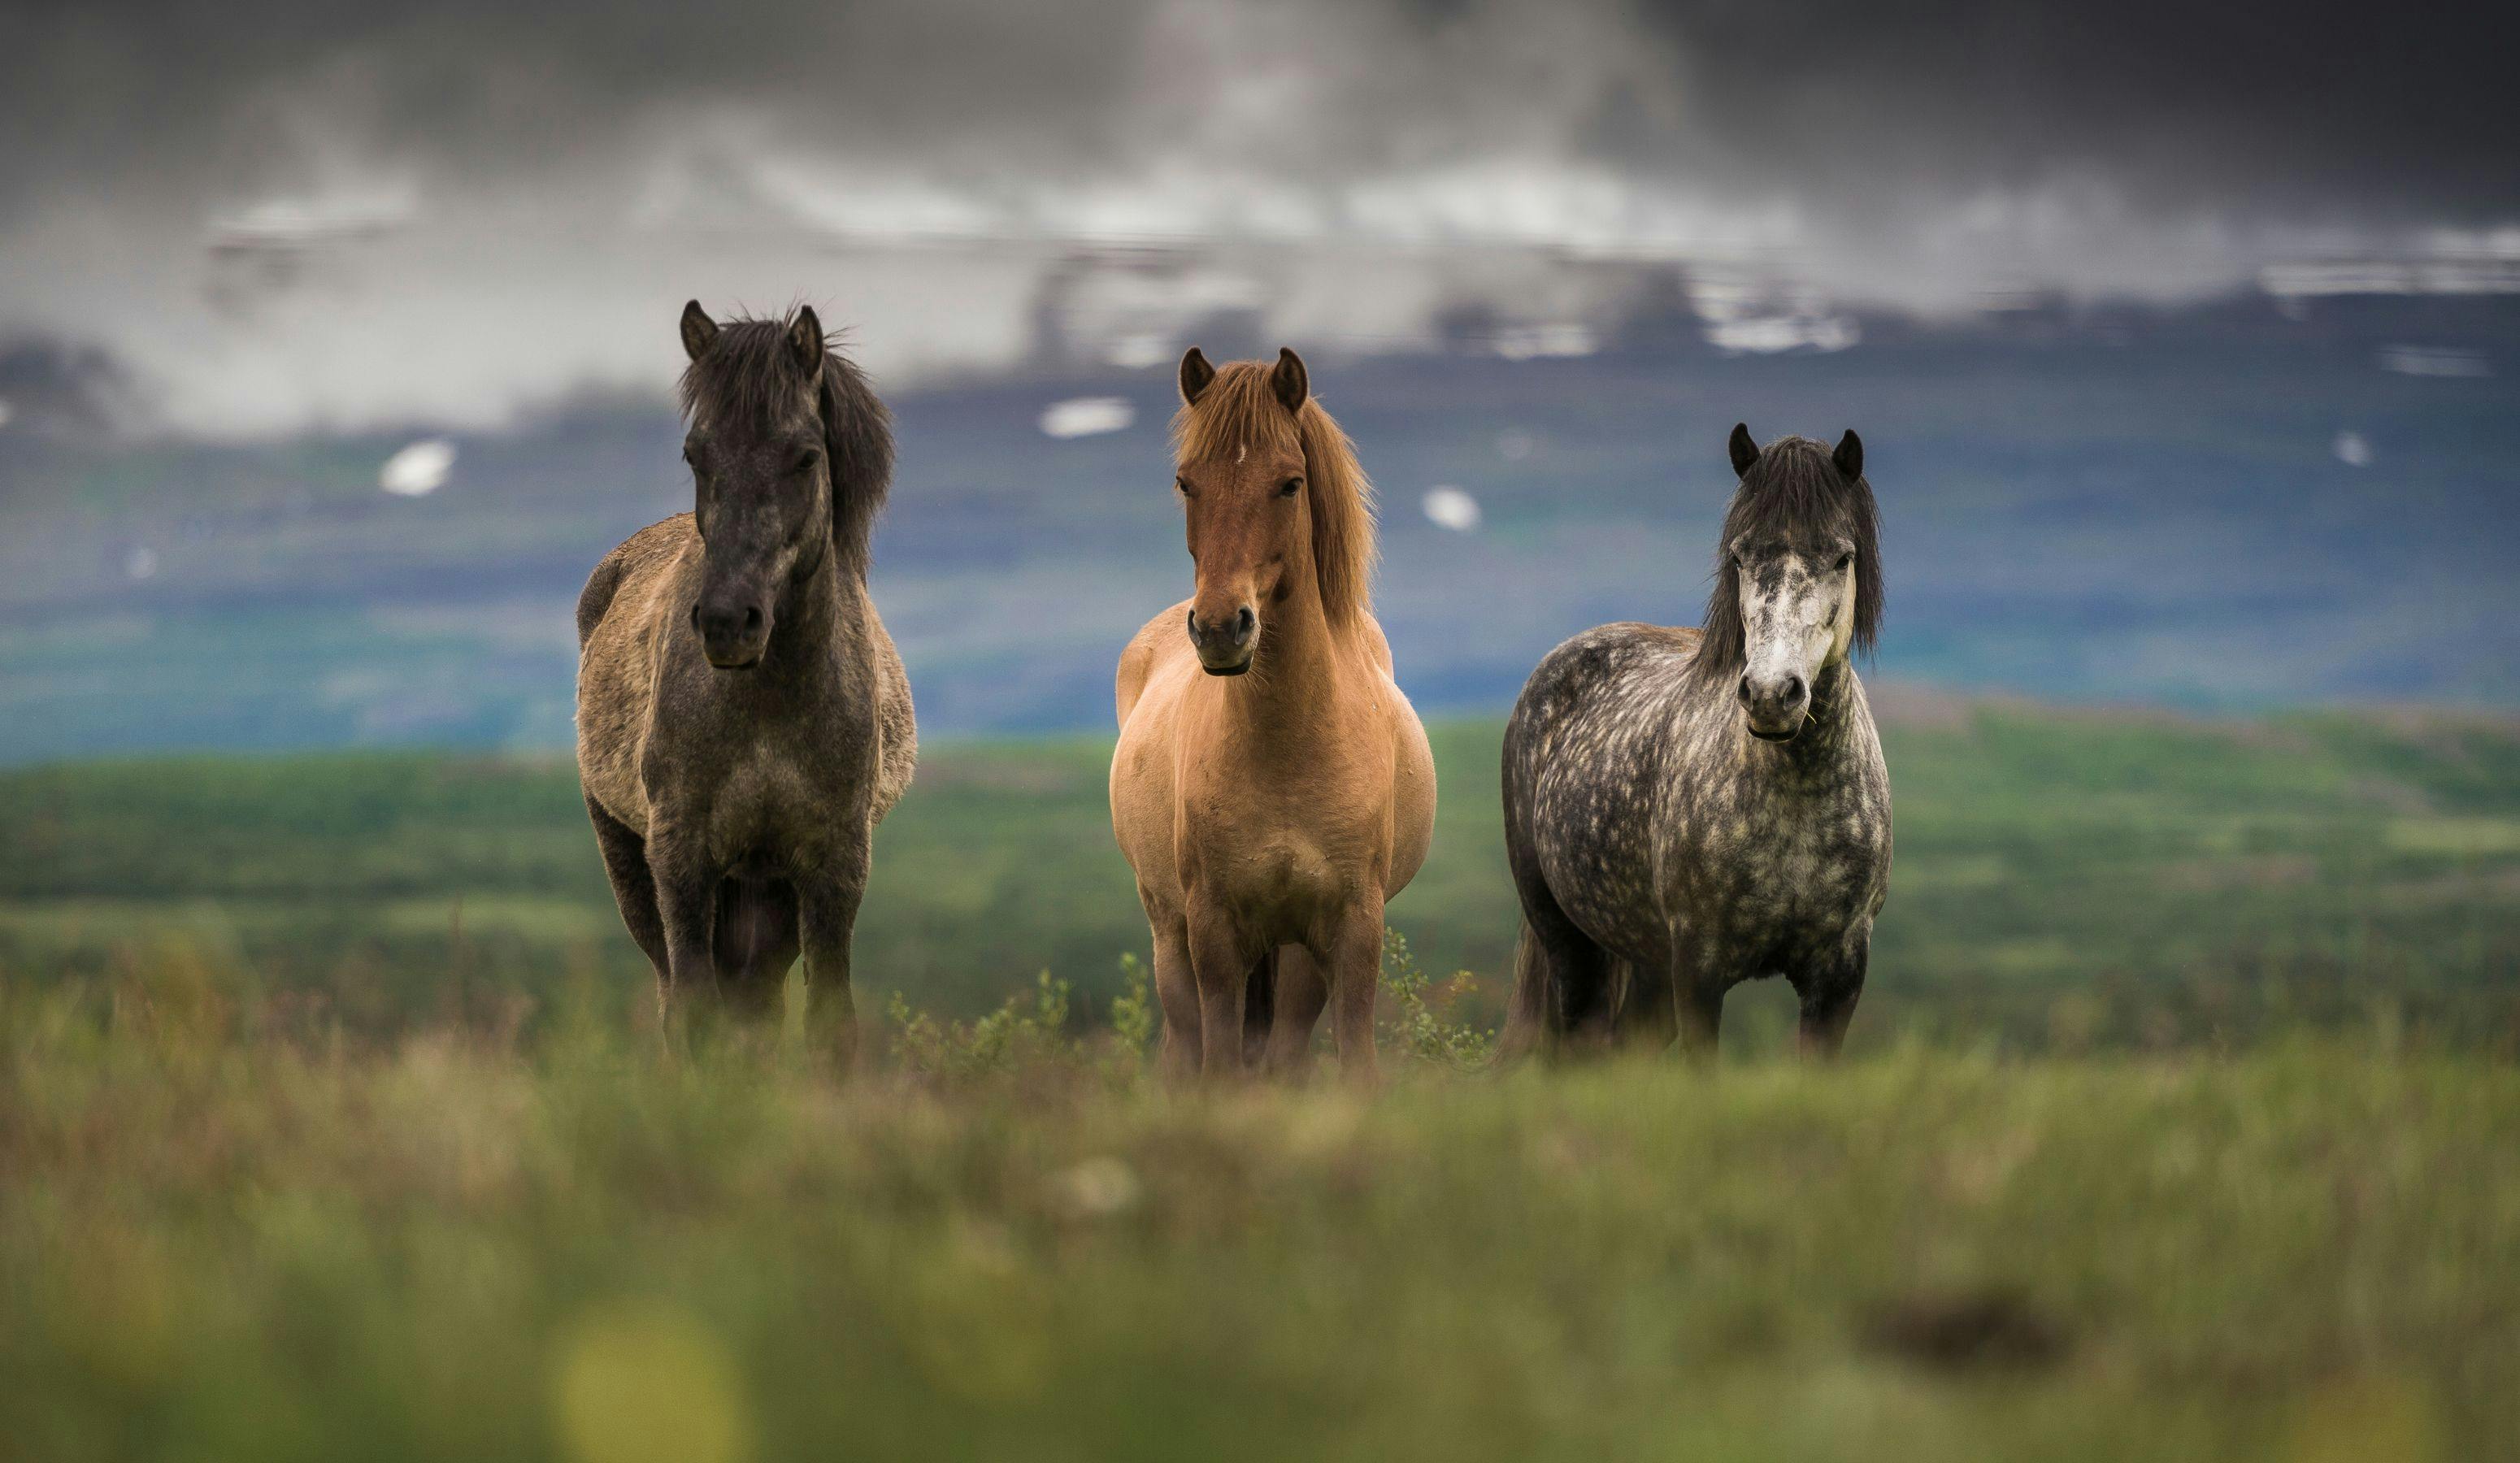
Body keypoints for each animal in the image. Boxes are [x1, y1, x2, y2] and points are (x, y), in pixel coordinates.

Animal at [574, 299, 917, 1047]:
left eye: (806, 455)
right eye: (695, 453)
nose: (729, 621)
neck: (770, 706)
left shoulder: (832, 866)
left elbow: (828, 1022)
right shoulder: (681, 861)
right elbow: (694, 1015)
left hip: (767, 894)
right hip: (632, 862)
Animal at [1109, 347, 1441, 1077]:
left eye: (1290, 484)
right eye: (1187, 483)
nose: (1219, 628)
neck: (1289, 744)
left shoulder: (1352, 929)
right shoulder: (1214, 931)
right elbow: (1221, 1067)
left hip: (1295, 955)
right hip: (1170, 933)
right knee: (1184, 1049)